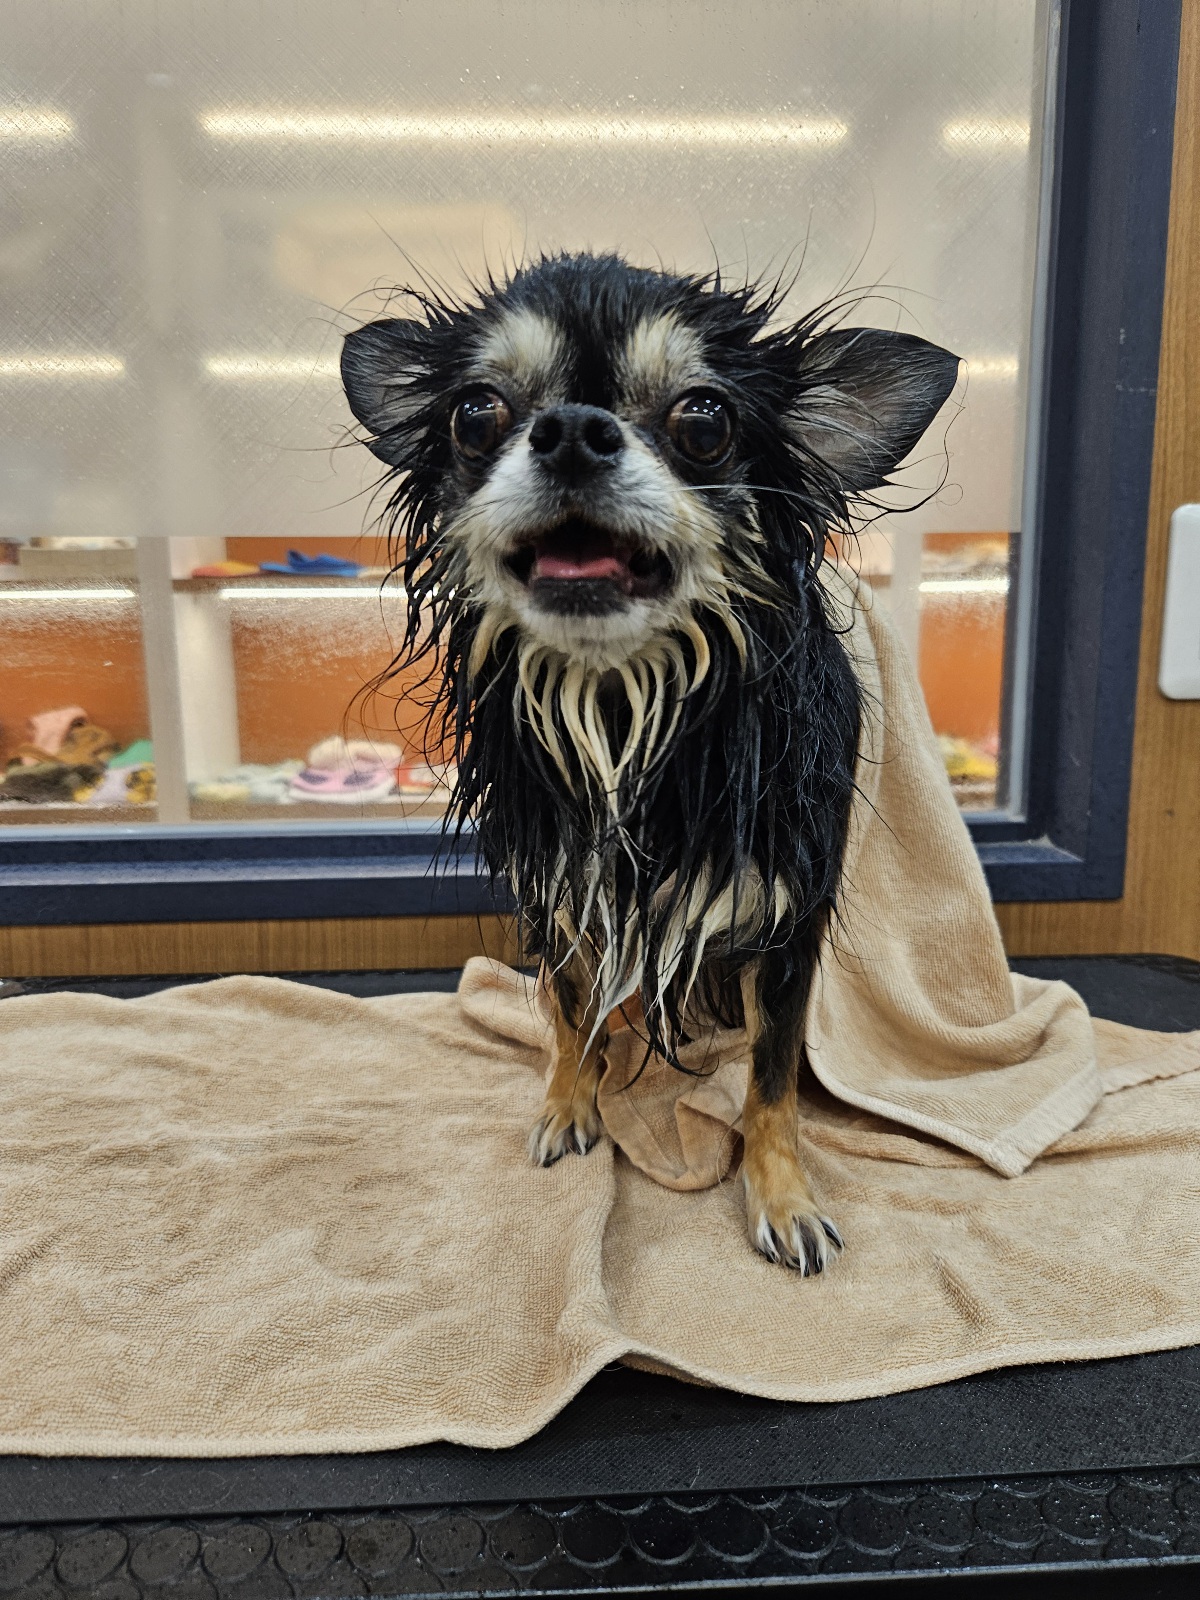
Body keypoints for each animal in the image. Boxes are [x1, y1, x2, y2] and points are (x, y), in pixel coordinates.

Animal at [342, 253, 958, 1273]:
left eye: (703, 421)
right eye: (476, 413)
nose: (572, 432)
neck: (622, 703)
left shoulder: (785, 925)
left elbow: (774, 1083)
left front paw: (782, 1195)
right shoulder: (558, 893)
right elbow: (568, 1010)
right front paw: (570, 1101)